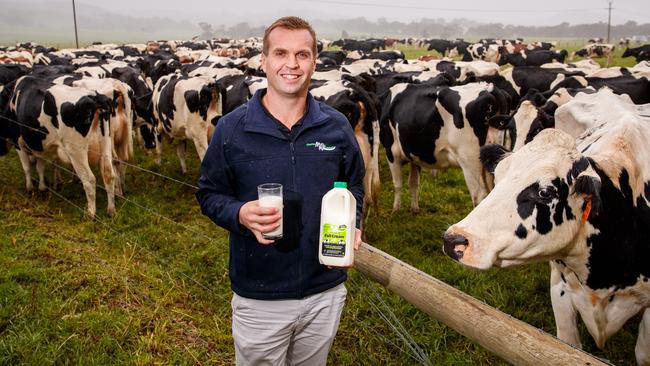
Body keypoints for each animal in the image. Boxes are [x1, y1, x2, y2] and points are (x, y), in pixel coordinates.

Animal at [378, 81, 508, 210]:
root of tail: (488, 88)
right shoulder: (414, 155)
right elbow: (413, 182)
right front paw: (414, 209)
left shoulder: (391, 152)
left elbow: (397, 183)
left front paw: (396, 209)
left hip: (469, 160)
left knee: (479, 195)